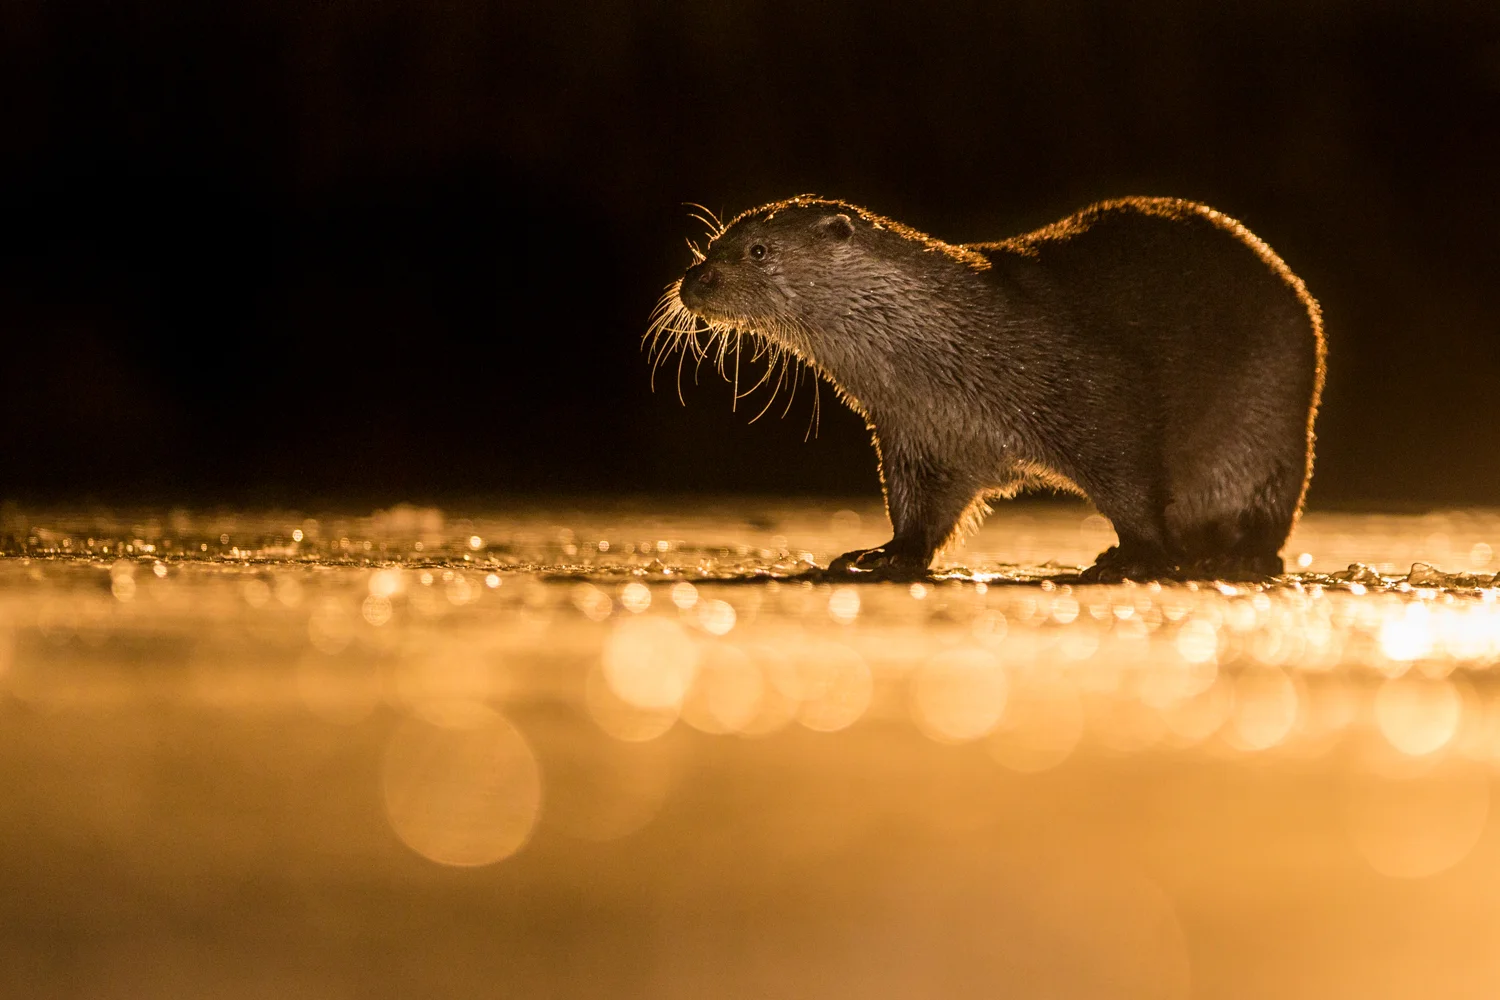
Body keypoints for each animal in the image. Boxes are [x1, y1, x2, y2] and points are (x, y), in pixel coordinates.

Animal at [646, 196, 1325, 581]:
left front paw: (1135, 557)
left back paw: (1238, 555)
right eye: (712, 244)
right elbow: (918, 510)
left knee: (1269, 506)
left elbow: (1132, 485)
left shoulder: (1096, 398)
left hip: (1271, 420)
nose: (692, 282)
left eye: (757, 250)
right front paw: (884, 555)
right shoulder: (918, 435)